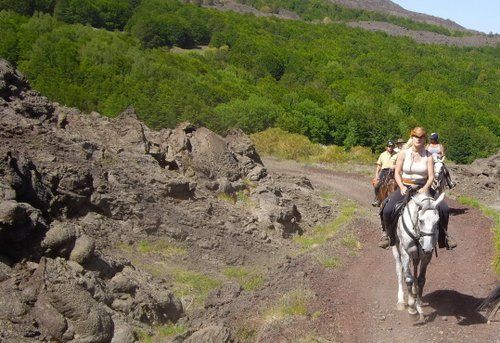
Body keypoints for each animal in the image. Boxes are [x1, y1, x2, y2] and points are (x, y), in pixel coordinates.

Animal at [390, 194, 446, 322]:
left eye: (437, 221)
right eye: (421, 220)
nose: (428, 248)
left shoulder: (426, 256)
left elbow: (421, 279)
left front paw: (419, 305)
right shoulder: (406, 252)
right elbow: (408, 279)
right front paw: (412, 309)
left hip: (417, 255)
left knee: (415, 266)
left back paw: (415, 292)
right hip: (396, 249)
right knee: (399, 270)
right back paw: (401, 301)